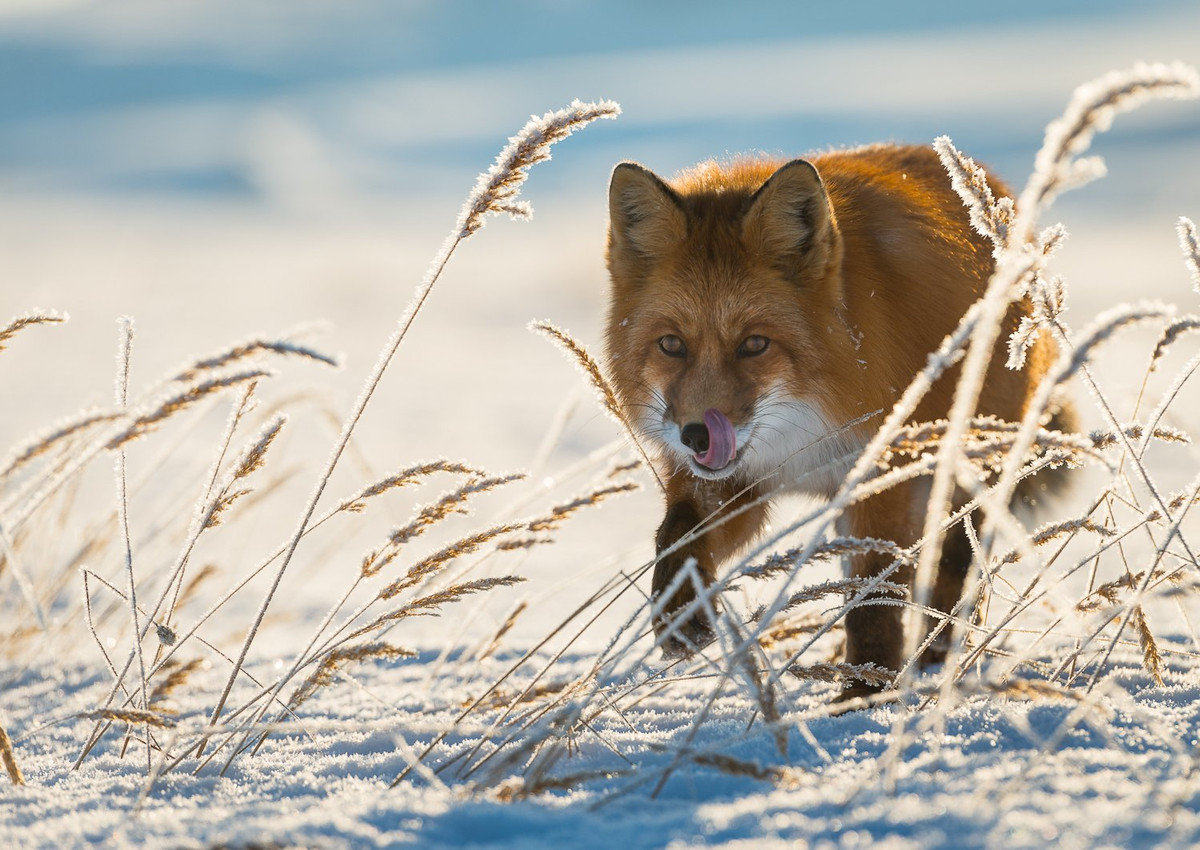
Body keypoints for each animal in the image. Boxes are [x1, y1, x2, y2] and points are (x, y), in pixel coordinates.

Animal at [604, 141, 1075, 696]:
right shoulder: (738, 482)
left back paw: (934, 660)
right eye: (672, 345)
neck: (801, 430)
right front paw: (679, 610)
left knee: (953, 573)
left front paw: (863, 694)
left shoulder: (881, 477)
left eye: (755, 345)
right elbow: (677, 536)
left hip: (966, 471)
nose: (696, 436)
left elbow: (871, 600)